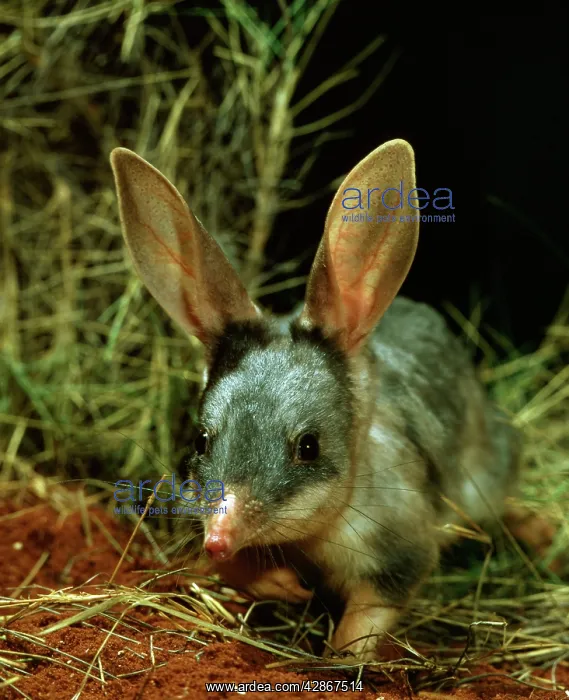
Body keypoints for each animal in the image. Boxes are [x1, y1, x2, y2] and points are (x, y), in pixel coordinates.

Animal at [110, 139, 527, 661]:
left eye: (309, 446)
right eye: (201, 440)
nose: (218, 539)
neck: (309, 537)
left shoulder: (399, 547)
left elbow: (368, 617)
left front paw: (338, 658)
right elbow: (234, 570)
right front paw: (283, 583)